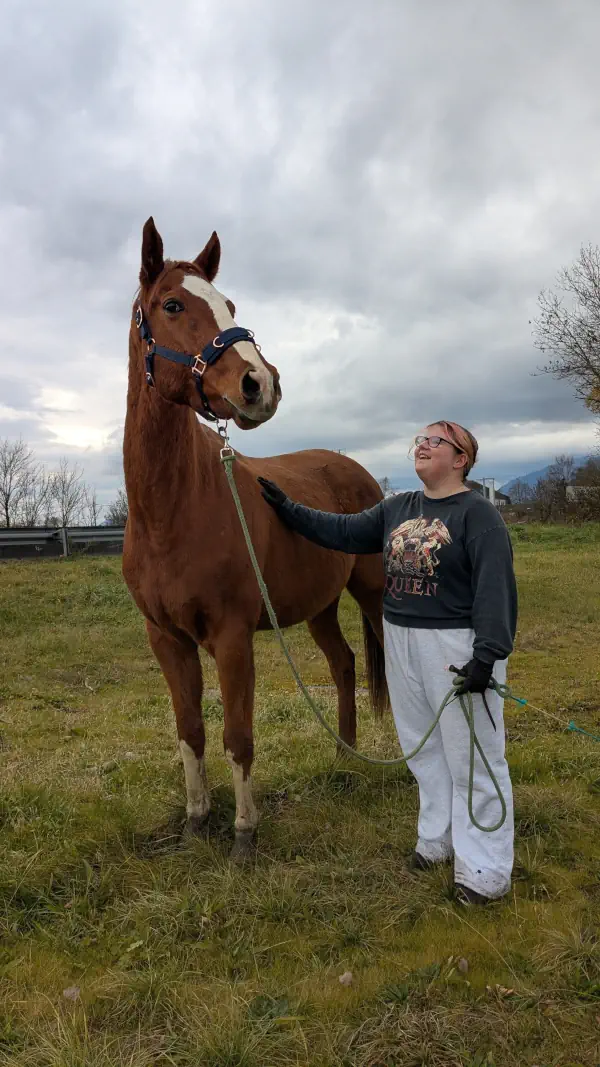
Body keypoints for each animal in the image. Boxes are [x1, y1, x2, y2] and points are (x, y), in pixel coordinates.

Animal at [123, 218, 388, 860]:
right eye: (172, 304)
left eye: (231, 304)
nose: (259, 383)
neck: (171, 512)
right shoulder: (167, 639)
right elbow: (190, 731)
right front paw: (197, 820)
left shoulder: (232, 636)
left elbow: (237, 734)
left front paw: (245, 833)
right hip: (319, 607)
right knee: (344, 665)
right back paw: (342, 756)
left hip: (371, 594)